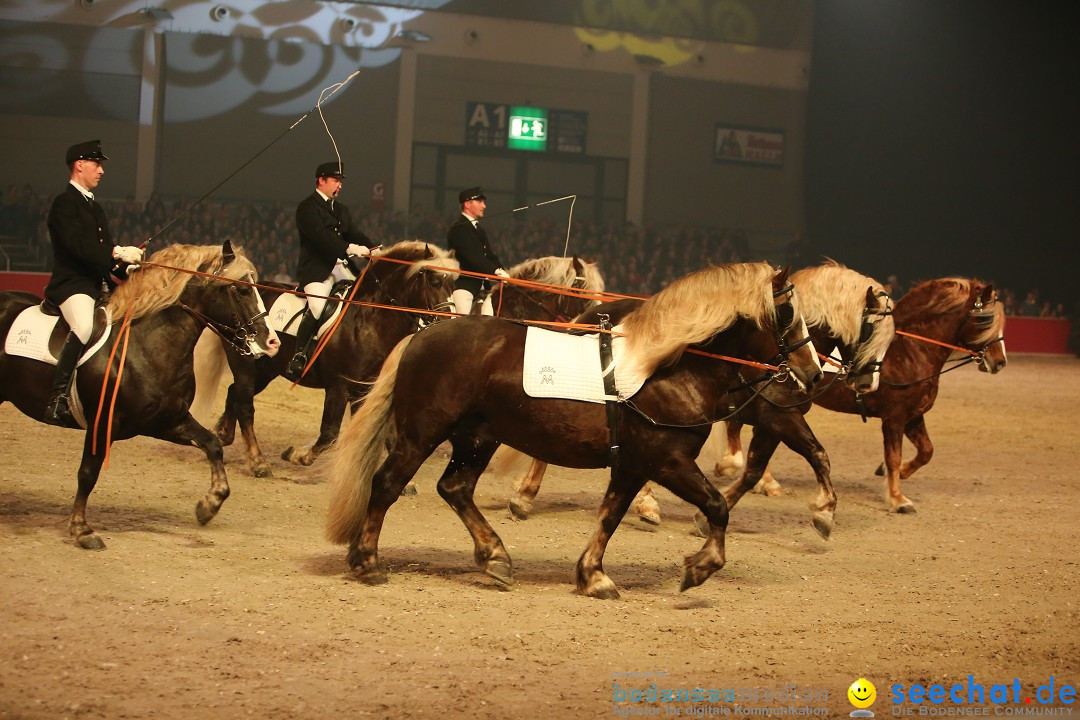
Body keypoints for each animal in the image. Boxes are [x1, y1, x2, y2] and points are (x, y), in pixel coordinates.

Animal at [0, 241, 282, 552]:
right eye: (242, 290)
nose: (273, 343)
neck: (146, 345)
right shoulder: (103, 425)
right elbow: (87, 473)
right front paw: (82, 530)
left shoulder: (167, 422)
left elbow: (212, 445)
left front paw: (209, 505)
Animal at [324, 262, 820, 600]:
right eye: (787, 311)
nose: (814, 373)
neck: (668, 368)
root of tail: (421, 335)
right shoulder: (668, 461)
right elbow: (716, 506)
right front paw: (701, 567)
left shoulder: (633, 465)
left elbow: (610, 517)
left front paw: (593, 576)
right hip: (422, 436)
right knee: (387, 484)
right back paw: (367, 562)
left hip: (478, 439)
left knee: (455, 488)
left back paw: (495, 557)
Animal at [717, 276, 1002, 511]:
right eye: (985, 320)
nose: (999, 361)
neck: (910, 351)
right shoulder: (894, 417)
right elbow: (894, 455)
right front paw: (898, 498)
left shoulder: (912, 416)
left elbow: (926, 451)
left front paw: (894, 473)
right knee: (735, 427)